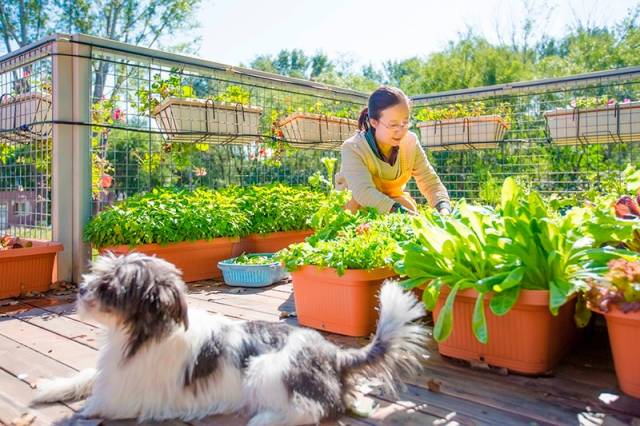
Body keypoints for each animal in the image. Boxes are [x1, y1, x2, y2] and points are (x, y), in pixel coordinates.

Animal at [32, 251, 428, 424]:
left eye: (110, 285)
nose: (82, 290)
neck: (144, 332)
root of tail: (334, 355)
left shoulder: (123, 396)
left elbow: (96, 401)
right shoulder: (111, 375)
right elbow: (86, 377)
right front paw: (52, 388)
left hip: (267, 369)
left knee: (310, 409)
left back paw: (264, 420)